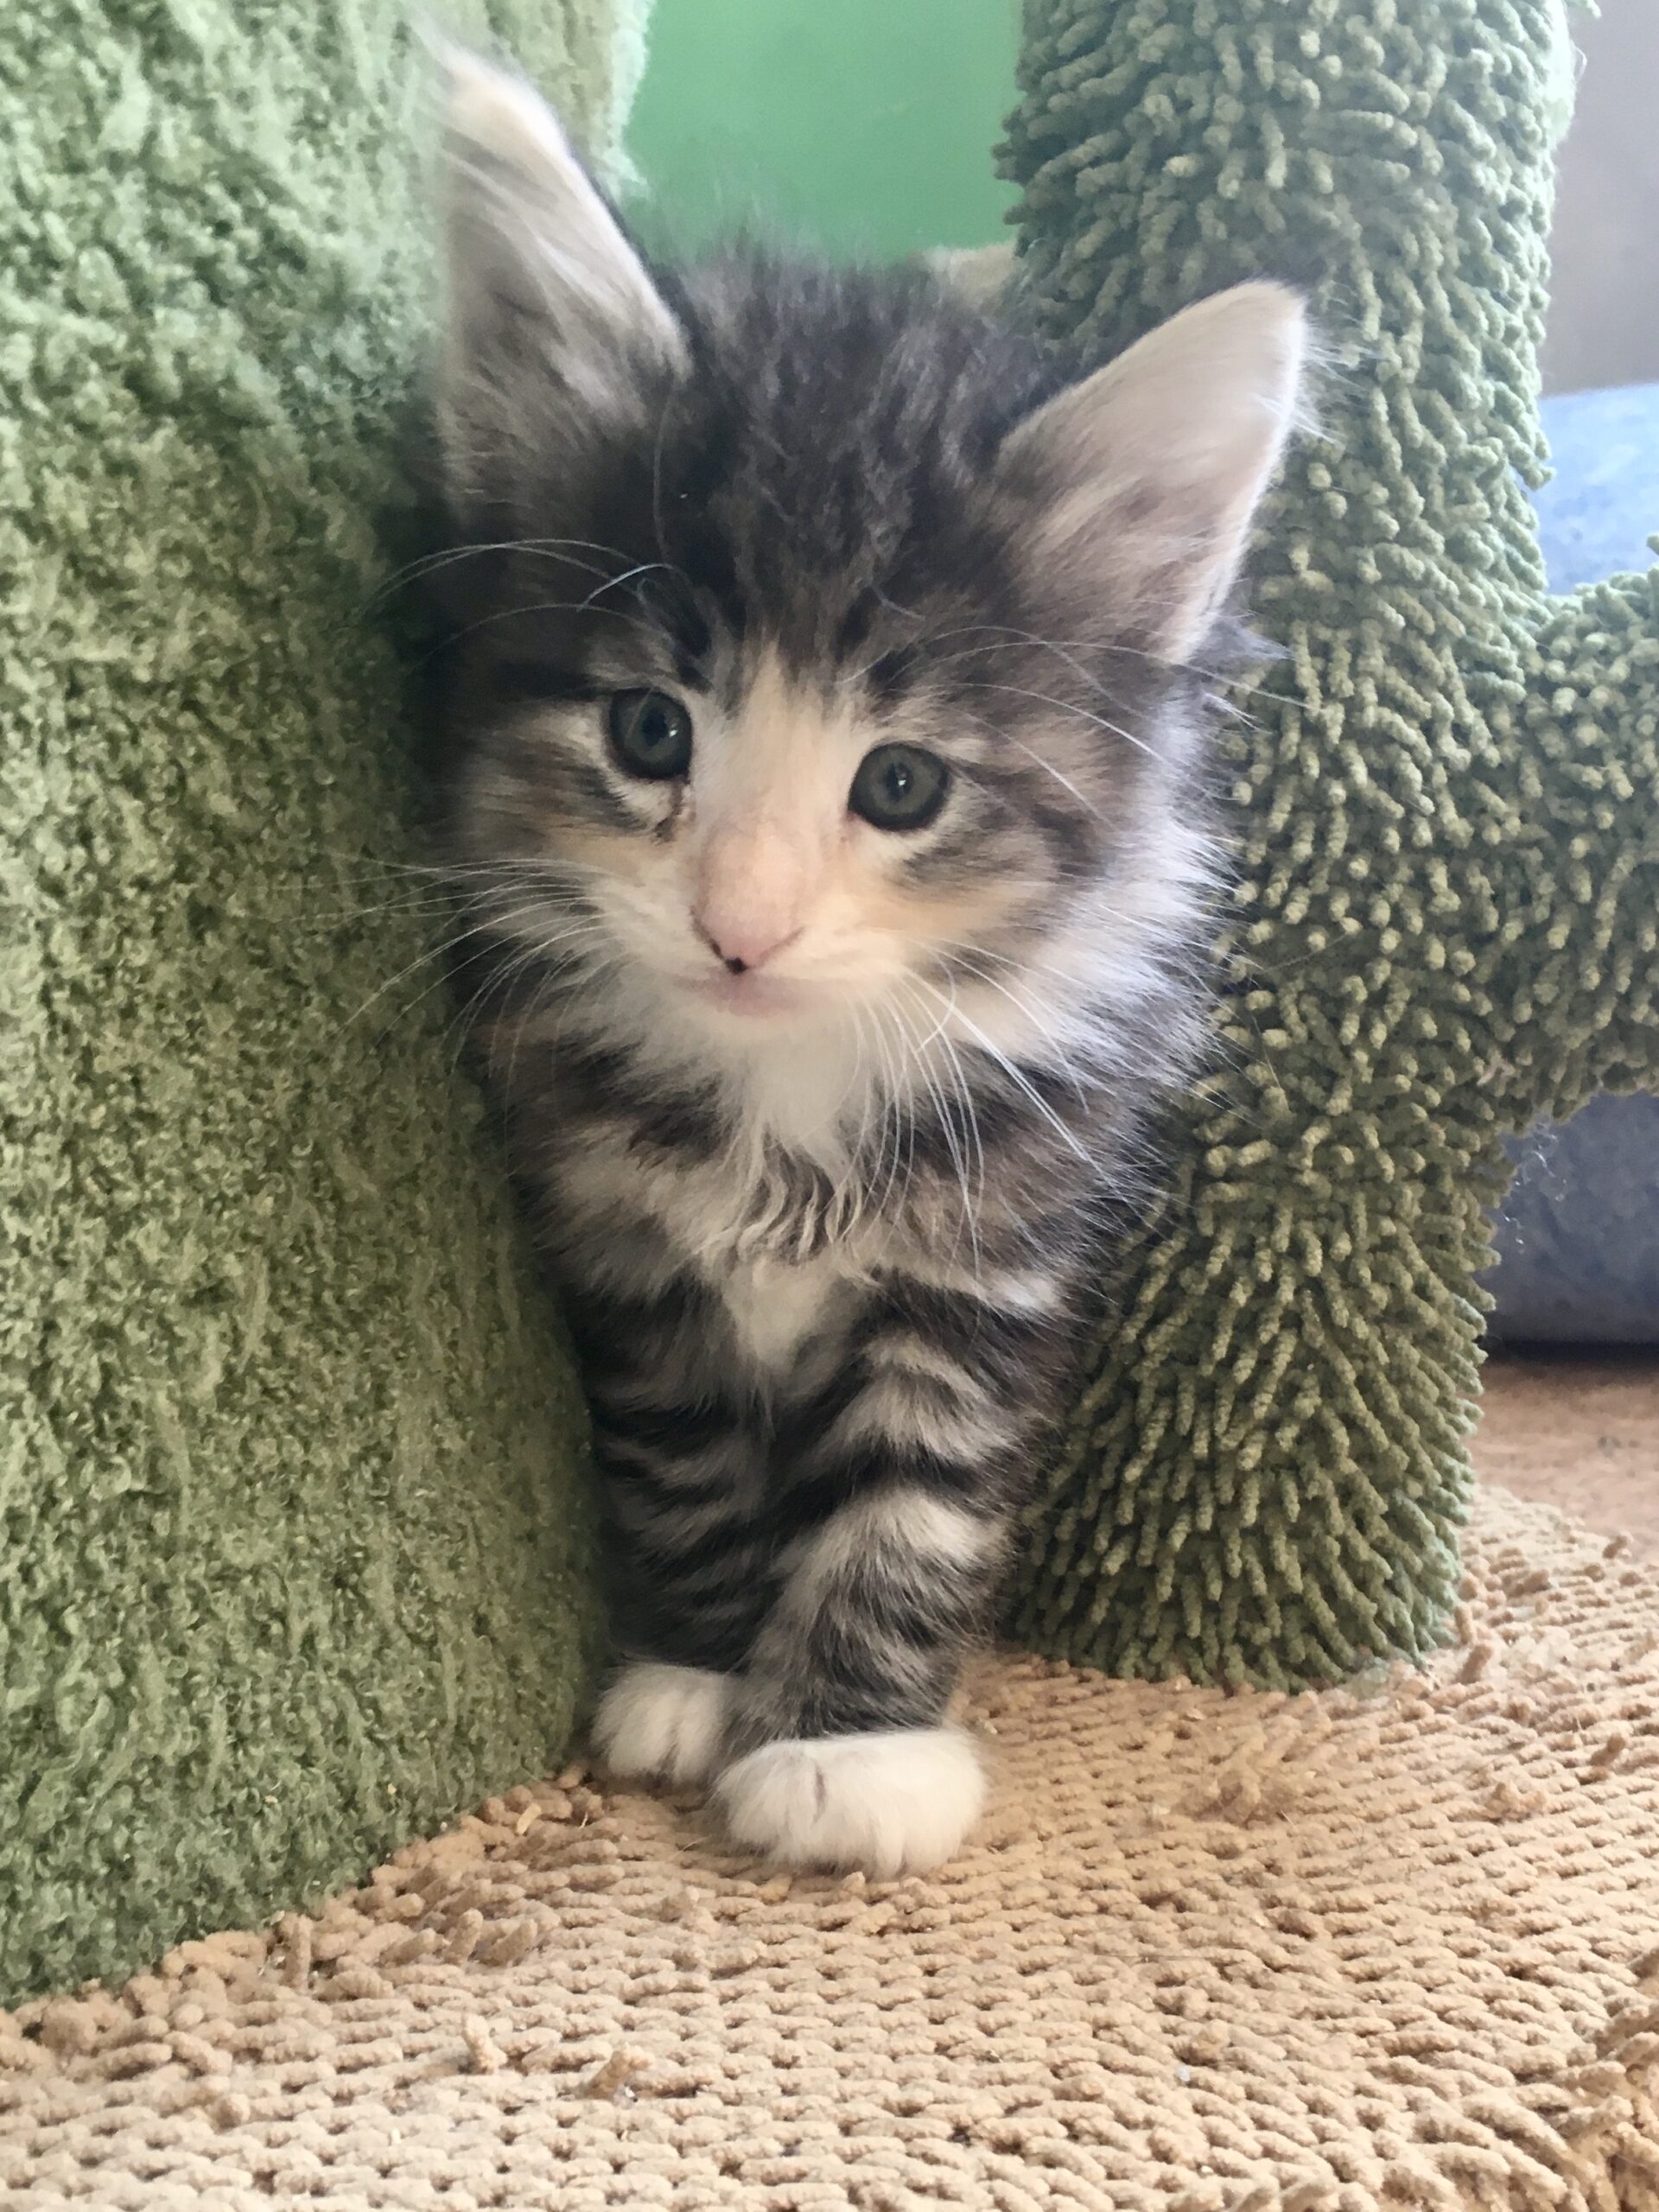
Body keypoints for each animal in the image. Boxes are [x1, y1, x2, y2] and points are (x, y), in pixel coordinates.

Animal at [417, 48, 1308, 1879]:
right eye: (649, 730)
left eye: (900, 786)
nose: (739, 928)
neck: (786, 1095)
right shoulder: (624, 1249)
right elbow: (685, 1457)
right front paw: (698, 1670)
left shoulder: (997, 1253)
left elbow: (909, 1502)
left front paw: (845, 1750)